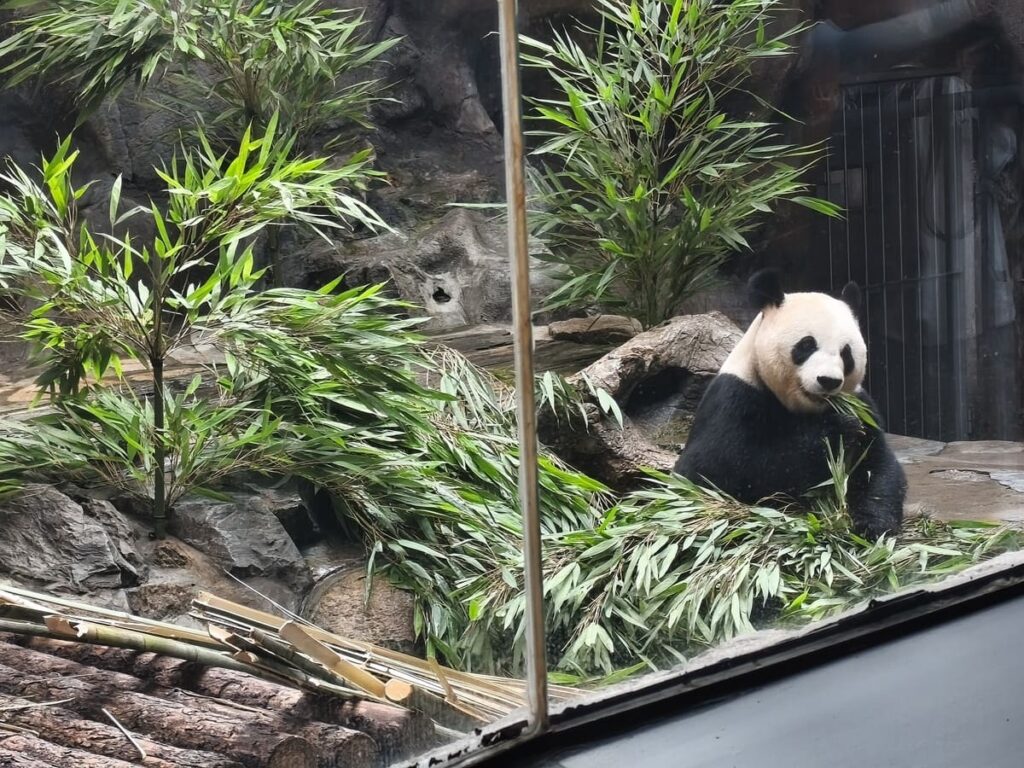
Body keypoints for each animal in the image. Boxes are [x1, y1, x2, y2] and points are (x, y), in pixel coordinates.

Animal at [674, 269, 906, 538]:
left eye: (846, 354)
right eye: (806, 345)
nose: (828, 380)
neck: (803, 408)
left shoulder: (862, 404)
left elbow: (877, 465)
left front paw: (872, 525)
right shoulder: (734, 398)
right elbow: (716, 466)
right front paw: (836, 429)